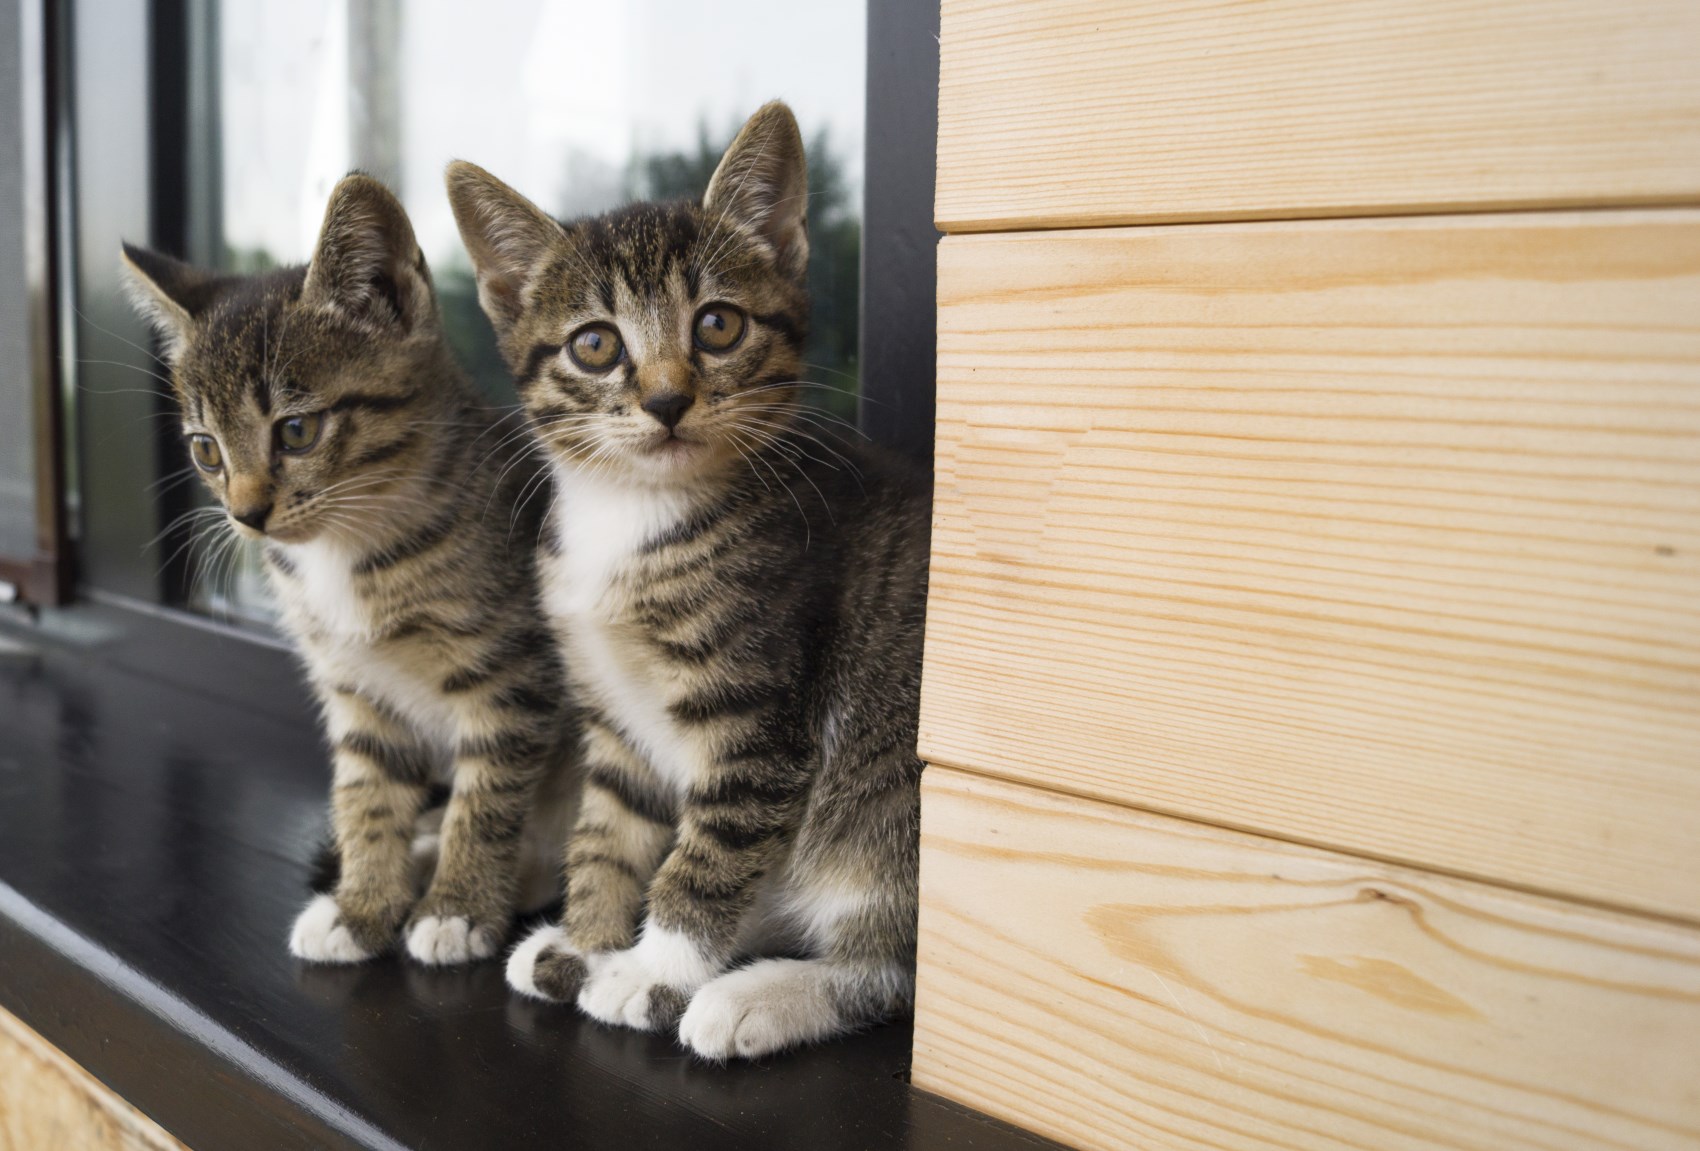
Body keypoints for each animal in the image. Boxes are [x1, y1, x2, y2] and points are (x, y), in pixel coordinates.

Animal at [124, 172, 578, 958]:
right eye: (206, 449)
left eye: (297, 431)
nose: (247, 514)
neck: (351, 552)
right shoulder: (355, 684)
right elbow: (366, 790)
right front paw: (362, 905)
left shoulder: (515, 676)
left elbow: (487, 796)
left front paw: (457, 907)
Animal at [445, 103, 931, 1054]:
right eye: (595, 344)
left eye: (717, 325)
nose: (667, 400)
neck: (633, 516)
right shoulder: (611, 715)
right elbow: (610, 829)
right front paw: (587, 939)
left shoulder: (758, 716)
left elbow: (708, 853)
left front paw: (653, 968)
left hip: (887, 813)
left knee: (891, 967)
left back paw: (747, 998)